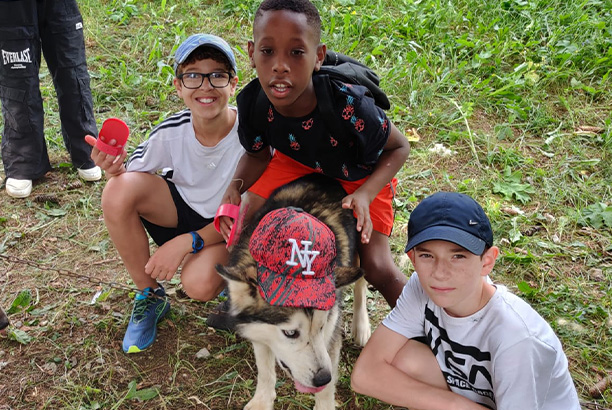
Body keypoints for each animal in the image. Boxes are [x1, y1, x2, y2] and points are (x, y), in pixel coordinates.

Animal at [218, 174, 370, 410]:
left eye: (321, 326)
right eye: (290, 333)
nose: (323, 378)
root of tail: (323, 177)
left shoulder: (331, 331)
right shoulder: (257, 329)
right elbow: (264, 368)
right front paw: (262, 400)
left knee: (362, 279)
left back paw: (361, 325)